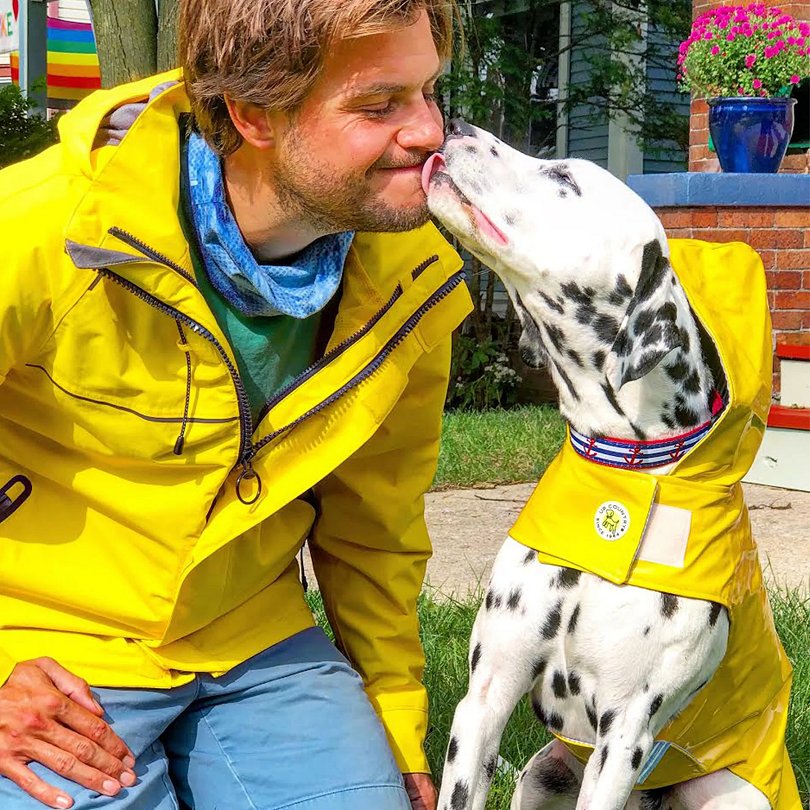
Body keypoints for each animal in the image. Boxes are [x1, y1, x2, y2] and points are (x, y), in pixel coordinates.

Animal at [422, 121, 772, 808]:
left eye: (564, 178)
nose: (457, 126)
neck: (626, 475)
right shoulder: (482, 703)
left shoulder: (622, 737)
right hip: (542, 770)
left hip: (741, 793)